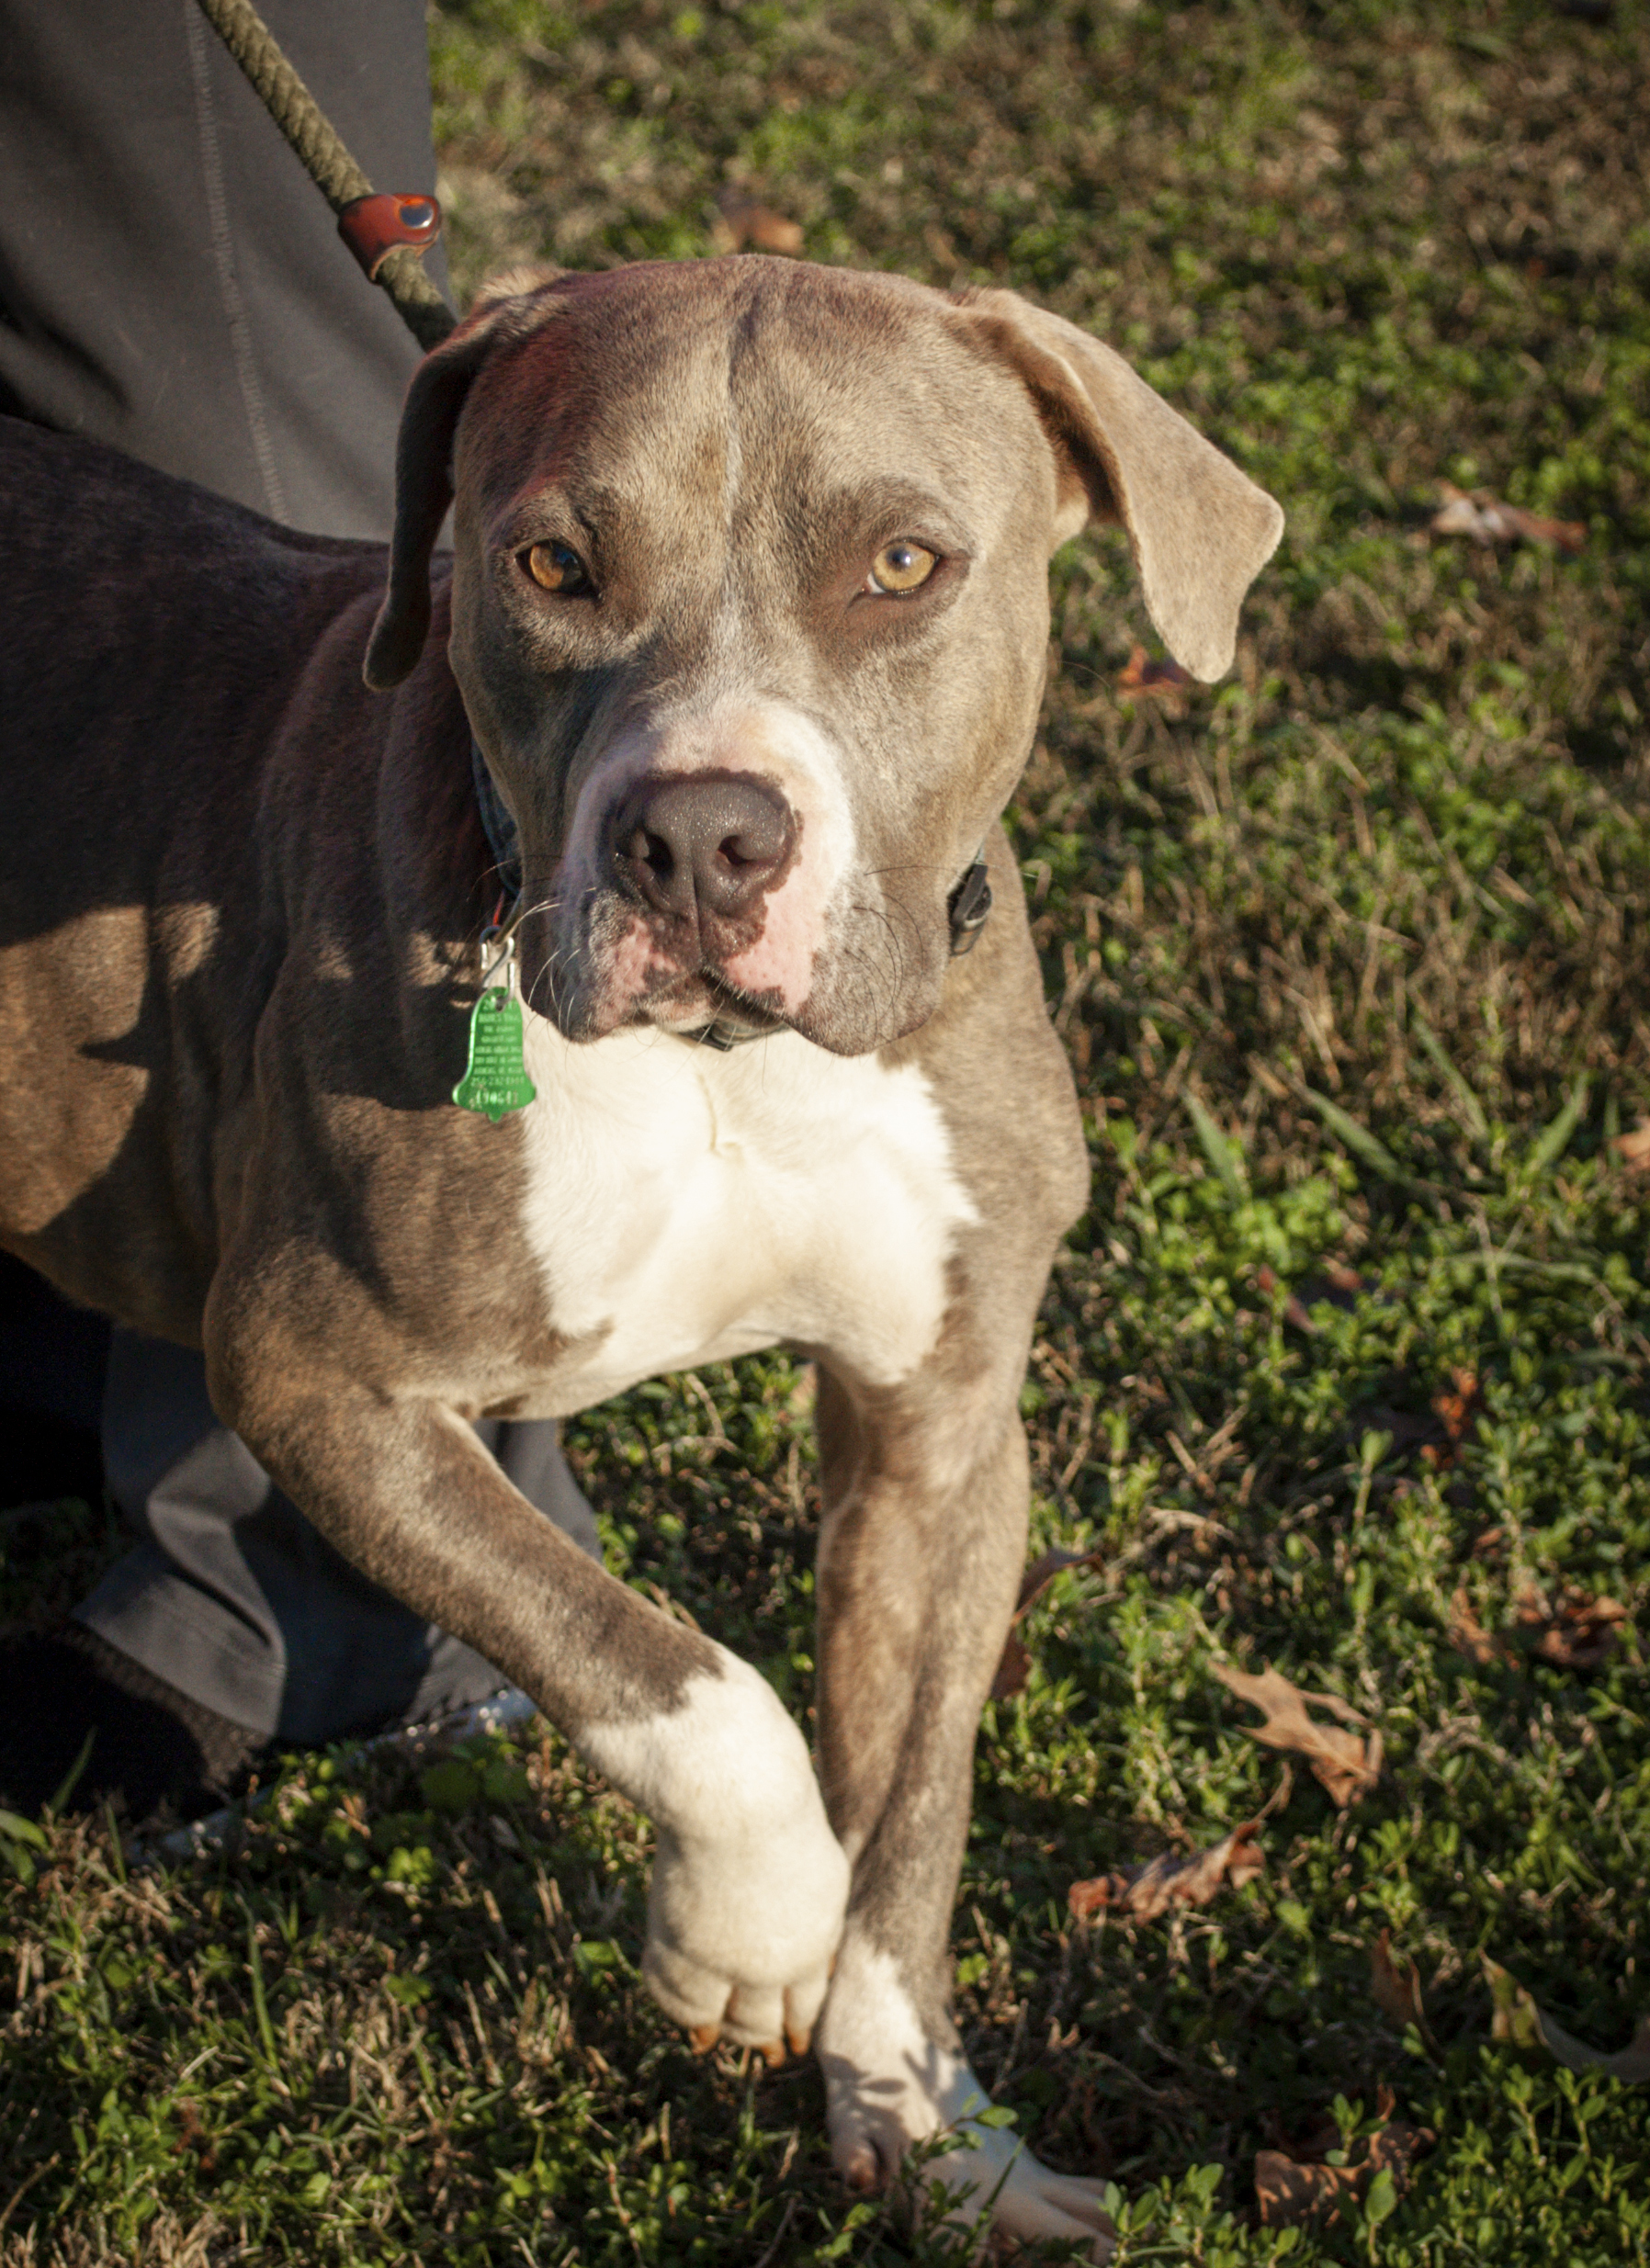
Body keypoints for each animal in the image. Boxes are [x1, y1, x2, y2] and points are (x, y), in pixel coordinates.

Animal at [0, 253, 1280, 2250]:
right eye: (549, 563)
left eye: (902, 564)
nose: (697, 835)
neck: (730, 1069)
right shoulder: (321, 1375)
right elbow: (668, 1667)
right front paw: (748, 1928)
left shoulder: (938, 1435)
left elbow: (910, 1820)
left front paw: (928, 2129)